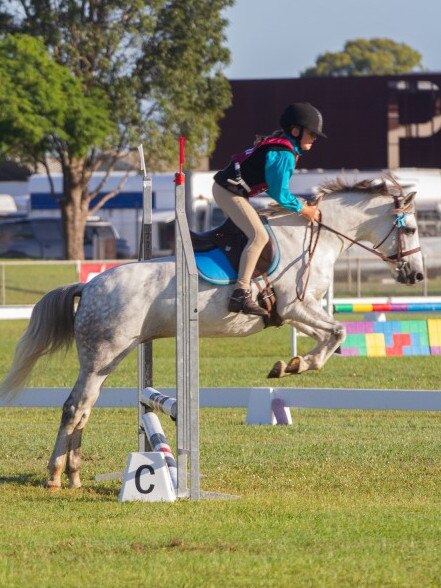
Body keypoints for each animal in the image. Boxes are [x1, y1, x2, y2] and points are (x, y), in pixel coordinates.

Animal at [0, 177, 426, 490]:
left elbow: (330, 335)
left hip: (109, 358)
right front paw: (295, 366)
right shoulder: (294, 306)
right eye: (411, 228)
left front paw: (289, 364)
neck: (308, 239)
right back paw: (55, 476)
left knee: (83, 406)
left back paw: (71, 475)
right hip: (103, 355)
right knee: (75, 407)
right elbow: (336, 332)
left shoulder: (292, 313)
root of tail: (88, 286)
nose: (418, 275)